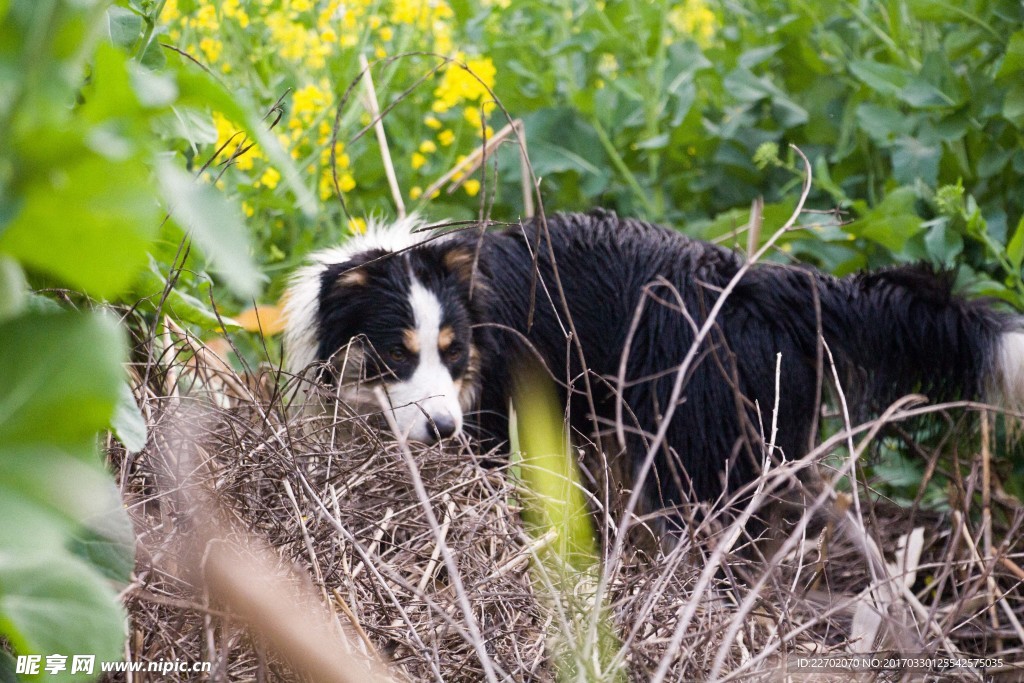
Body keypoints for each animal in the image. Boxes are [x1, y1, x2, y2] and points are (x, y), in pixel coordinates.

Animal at [282, 210, 1024, 509]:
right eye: (395, 354)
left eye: (454, 351)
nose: (441, 431)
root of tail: (771, 282)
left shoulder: (492, 407)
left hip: (696, 434)